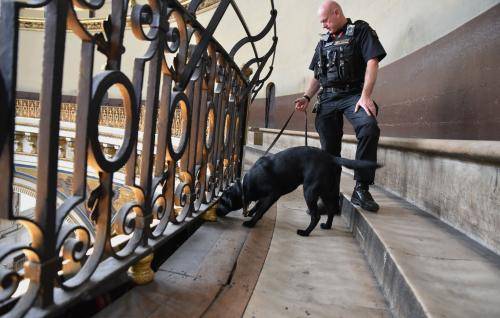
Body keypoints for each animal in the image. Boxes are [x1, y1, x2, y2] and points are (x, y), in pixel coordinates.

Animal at [215, 147, 378, 236]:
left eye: (222, 201)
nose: (215, 212)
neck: (245, 185)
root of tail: (332, 158)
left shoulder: (273, 194)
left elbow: (261, 209)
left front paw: (251, 222)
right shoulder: (265, 196)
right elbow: (258, 205)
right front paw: (250, 212)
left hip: (310, 191)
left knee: (316, 216)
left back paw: (305, 232)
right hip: (327, 191)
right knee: (331, 209)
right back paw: (327, 226)